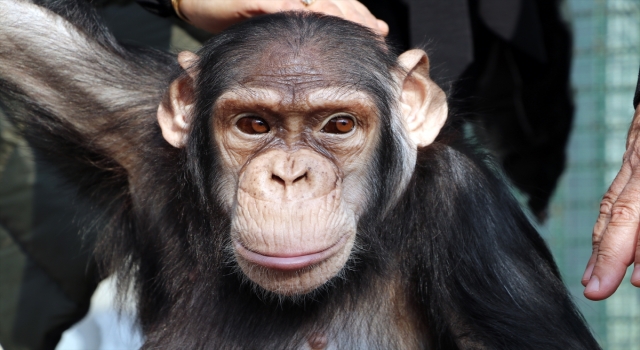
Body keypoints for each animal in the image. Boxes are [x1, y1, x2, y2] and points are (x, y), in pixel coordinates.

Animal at [0, 0, 600, 348]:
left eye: (339, 125)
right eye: (253, 124)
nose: (289, 177)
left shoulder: (476, 228)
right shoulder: (128, 119)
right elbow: (24, 38)